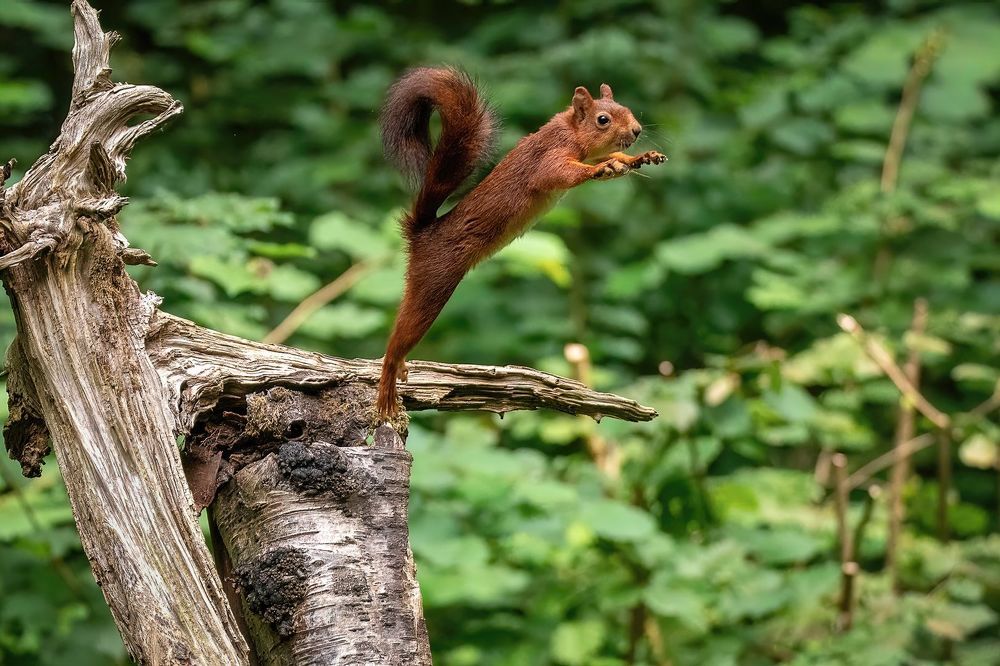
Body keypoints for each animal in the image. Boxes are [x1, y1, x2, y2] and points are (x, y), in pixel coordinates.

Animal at [376, 67, 666, 418]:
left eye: (626, 109)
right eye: (603, 119)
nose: (637, 131)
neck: (570, 132)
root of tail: (422, 233)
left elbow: (616, 156)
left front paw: (639, 157)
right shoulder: (549, 159)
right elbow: (560, 174)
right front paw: (602, 166)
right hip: (434, 282)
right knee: (399, 338)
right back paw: (388, 385)